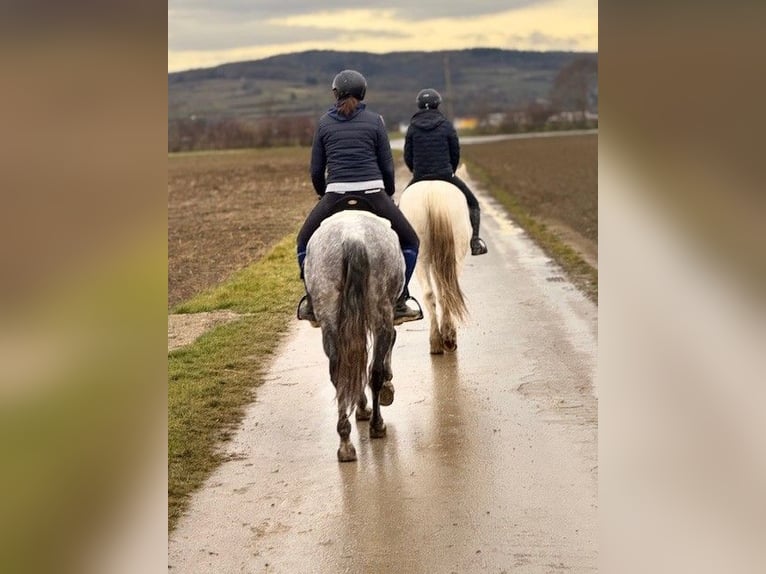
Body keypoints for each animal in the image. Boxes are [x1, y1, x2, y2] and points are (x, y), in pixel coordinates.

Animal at [400, 181, 472, 356]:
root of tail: (433, 195)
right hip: (450, 257)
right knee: (444, 293)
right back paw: (445, 340)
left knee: (433, 294)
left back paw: (439, 340)